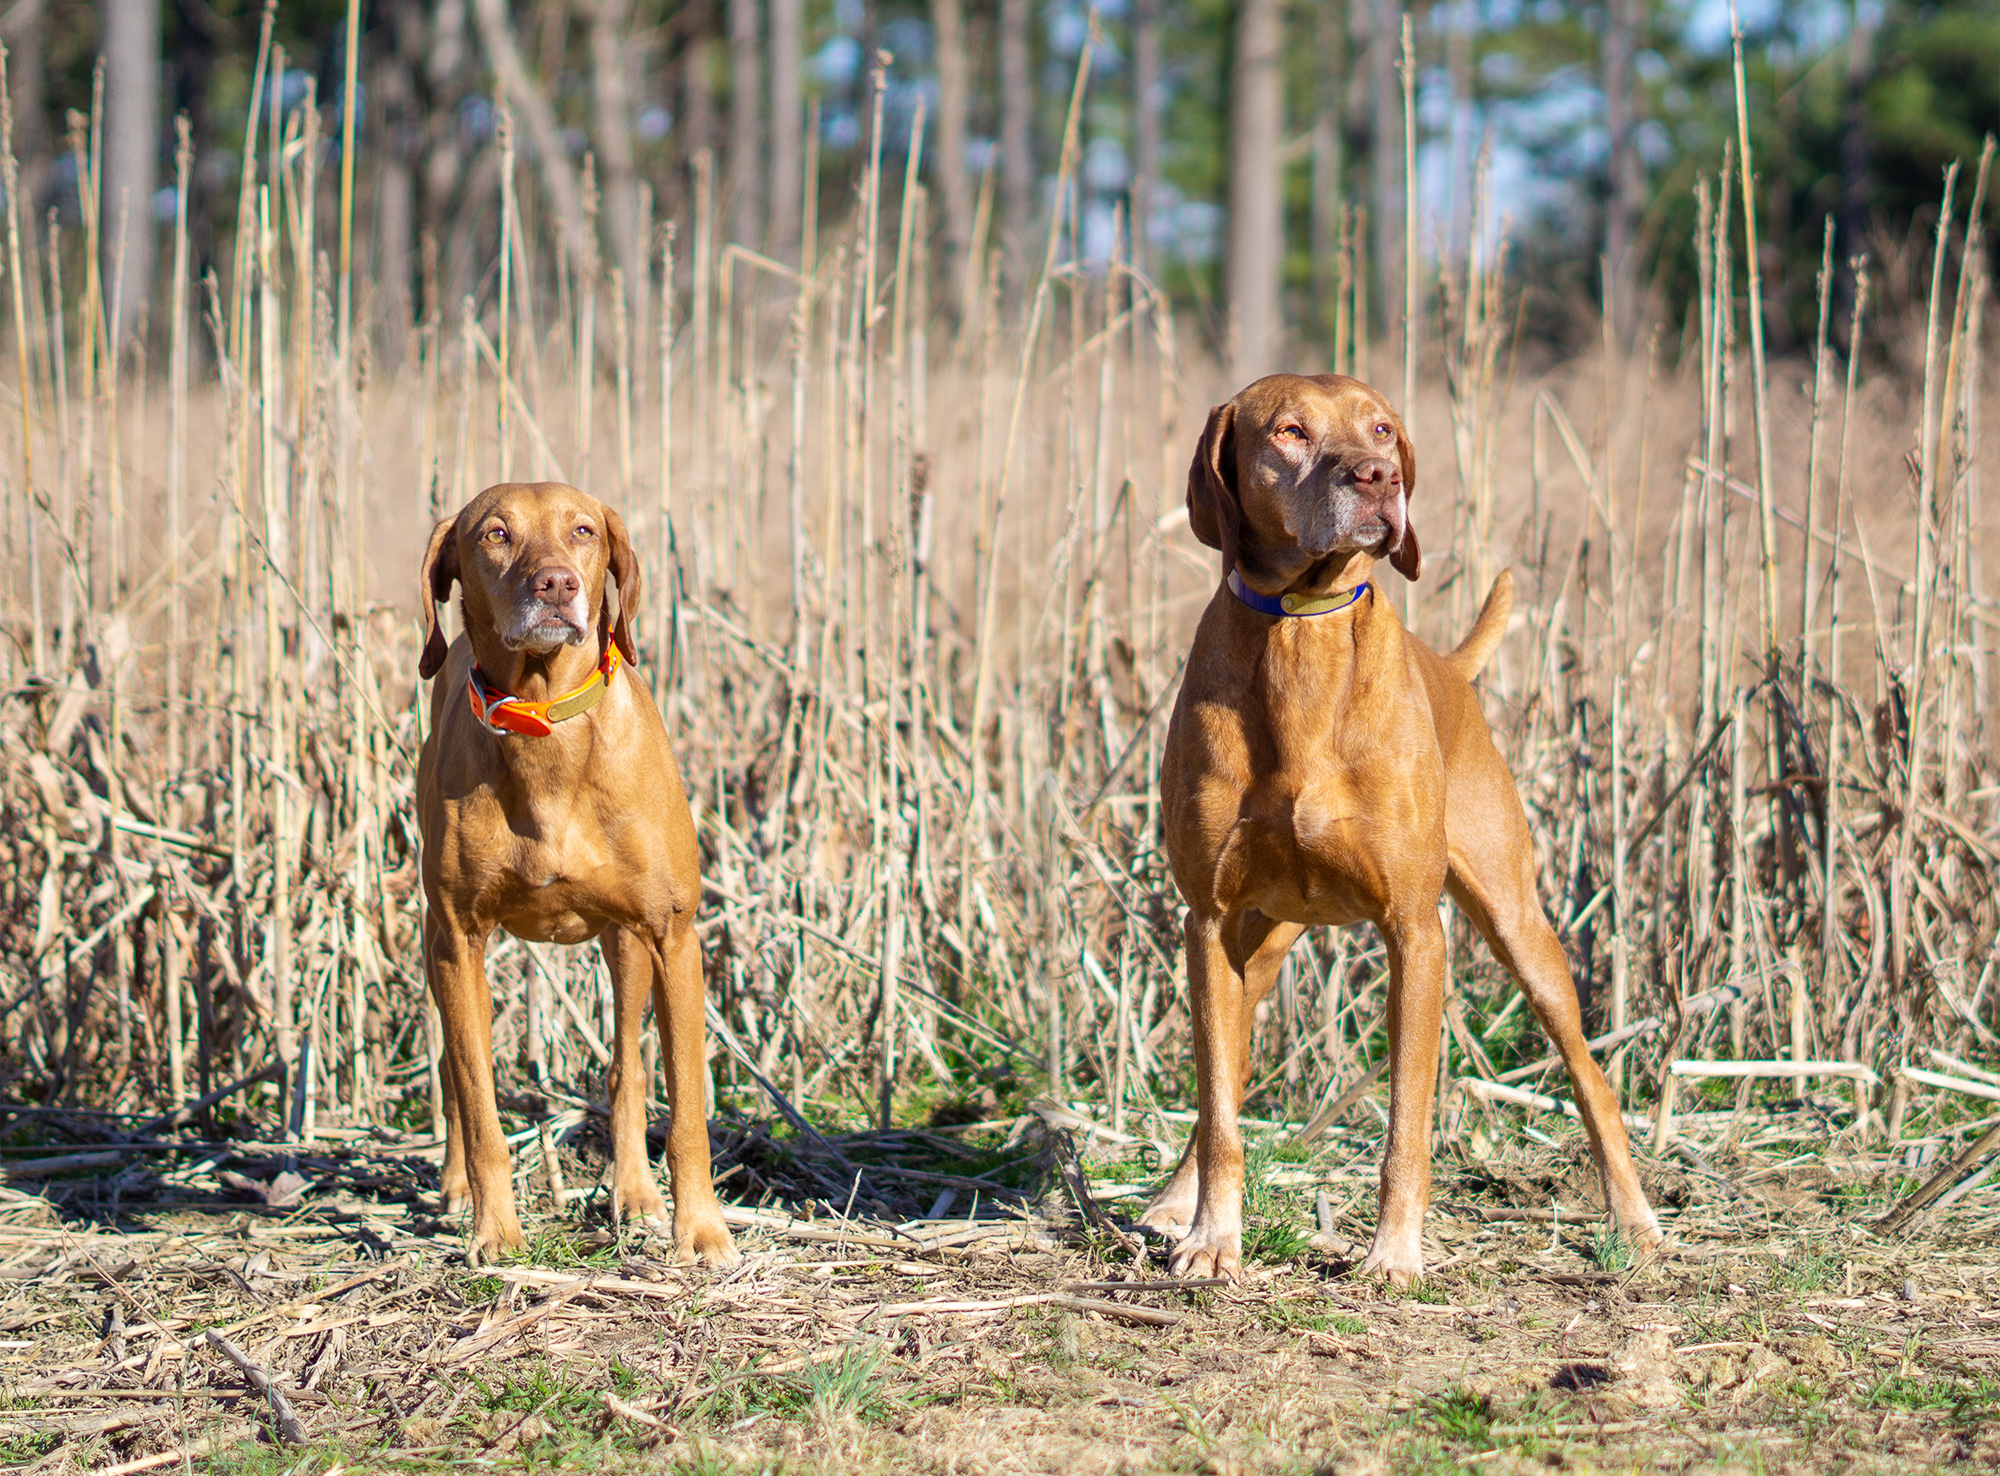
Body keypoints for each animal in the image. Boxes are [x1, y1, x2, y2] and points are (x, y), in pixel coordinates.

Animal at [418, 484, 740, 1264]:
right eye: (496, 533)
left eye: (584, 531)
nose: (557, 584)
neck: (547, 728)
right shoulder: (456, 940)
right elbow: (479, 1105)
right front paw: (495, 1231)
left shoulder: (674, 938)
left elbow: (686, 1106)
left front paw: (701, 1231)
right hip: (436, 948)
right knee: (452, 1073)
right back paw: (456, 1191)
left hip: (628, 944)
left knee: (627, 1067)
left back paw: (636, 1195)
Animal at [1144, 374, 1656, 1280]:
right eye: (1289, 430)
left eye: (1381, 428)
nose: (1379, 478)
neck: (1301, 629)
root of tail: (1449, 667)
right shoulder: (1207, 920)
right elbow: (1219, 1106)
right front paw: (1212, 1239)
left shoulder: (1418, 932)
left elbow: (1406, 1125)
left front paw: (1393, 1255)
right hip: (1259, 942)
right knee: (1223, 1082)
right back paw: (1177, 1203)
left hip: (1519, 927)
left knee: (1590, 1077)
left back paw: (1633, 1221)